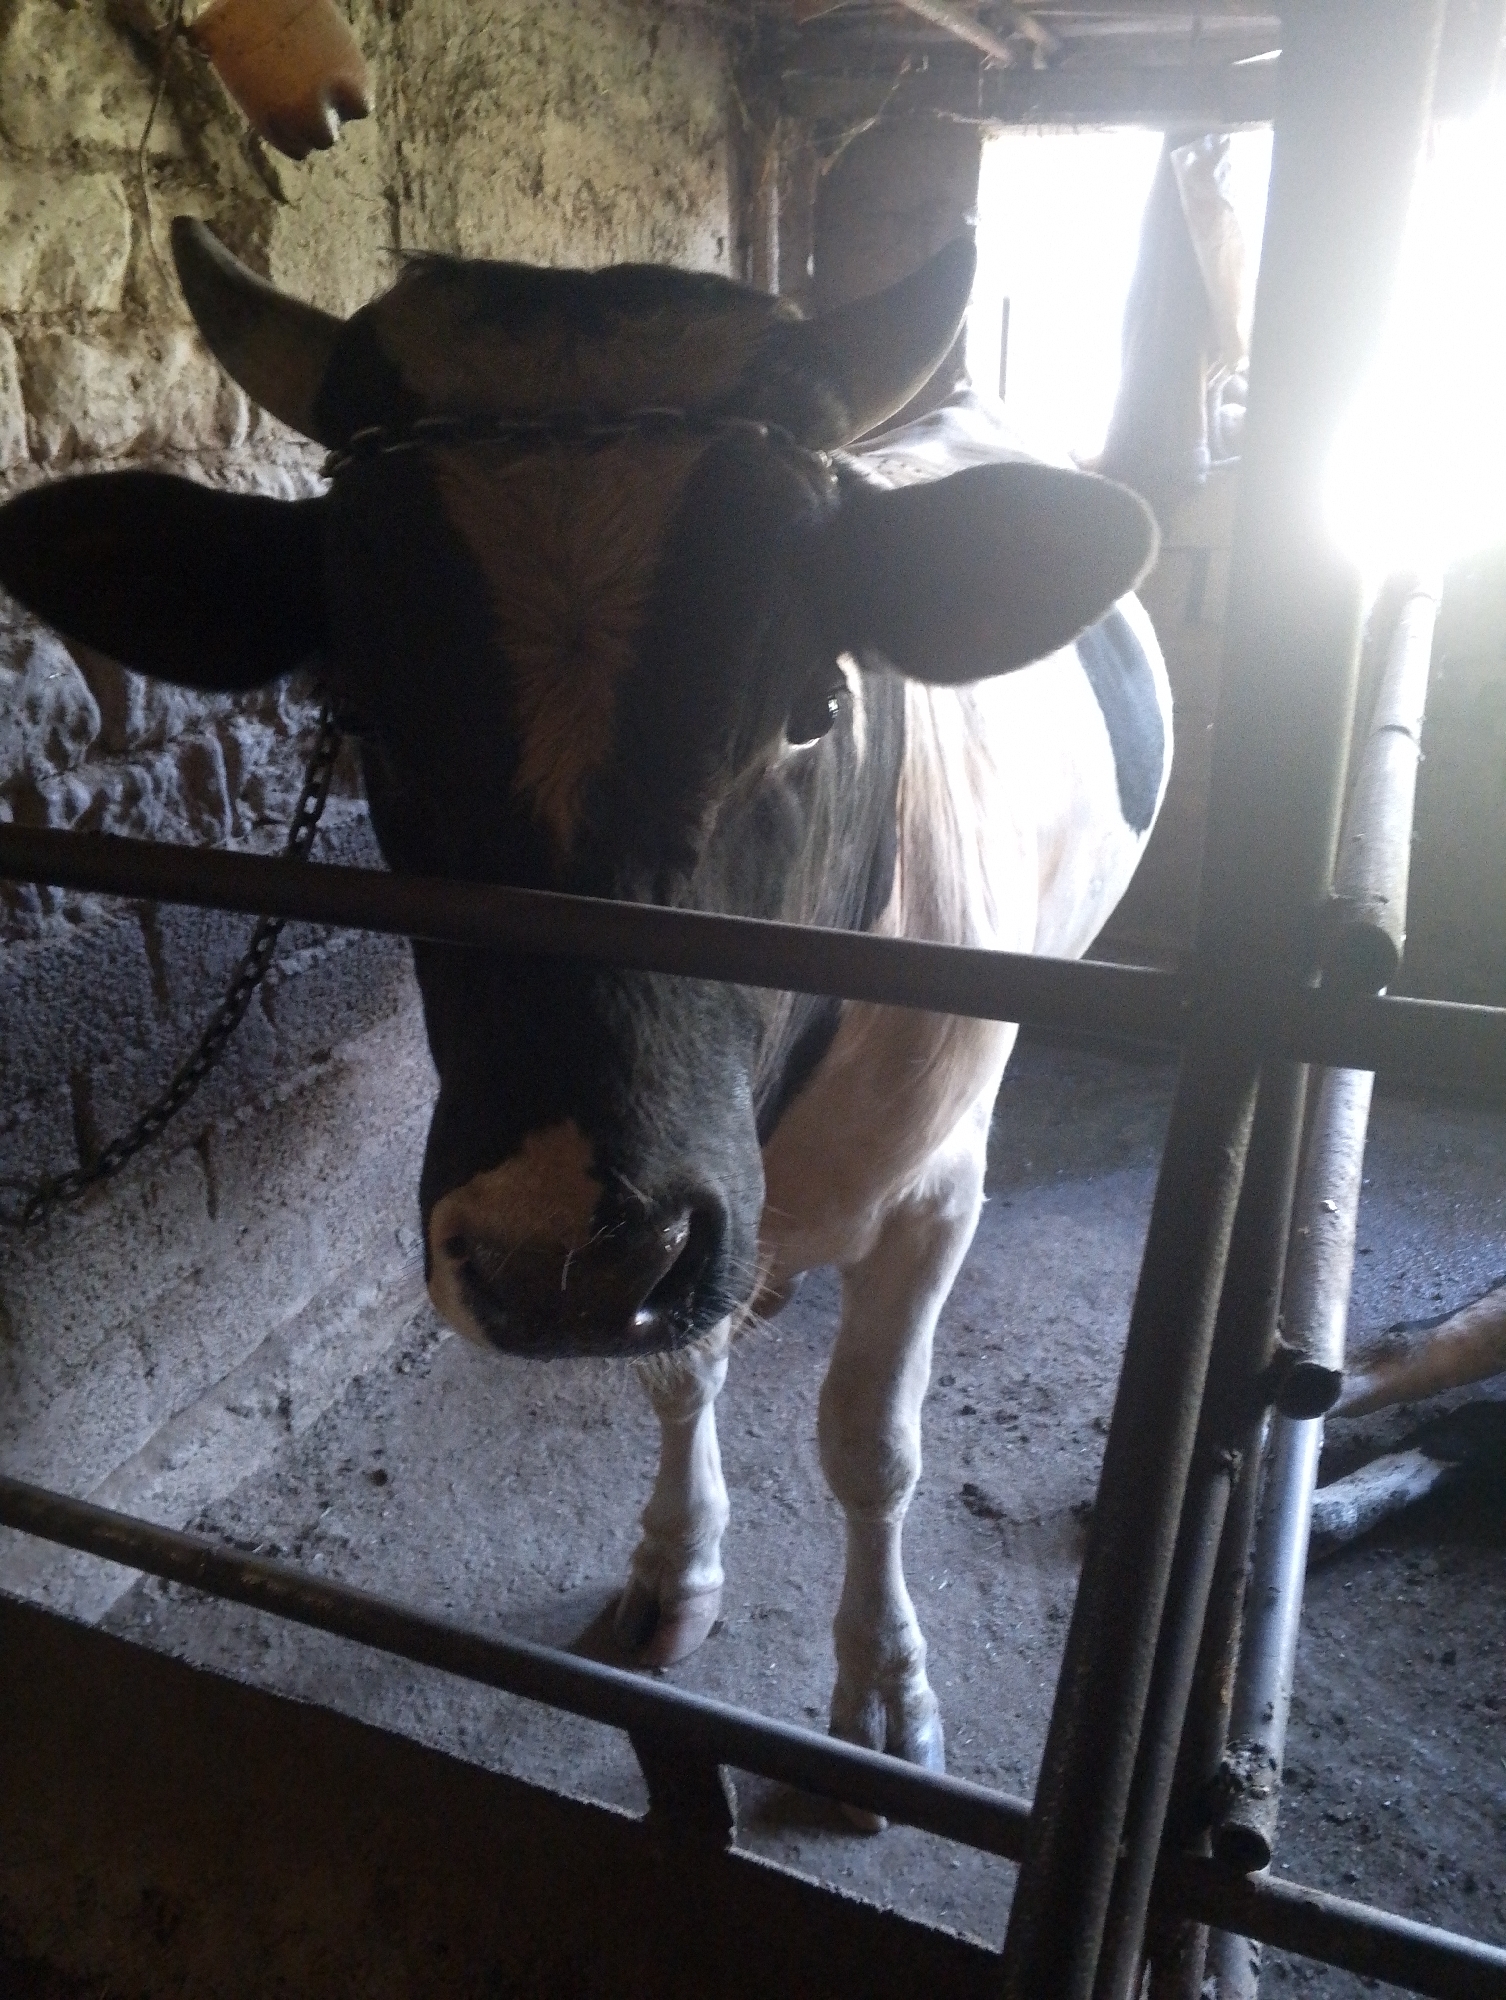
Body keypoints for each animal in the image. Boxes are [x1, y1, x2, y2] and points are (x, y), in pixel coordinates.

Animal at [0, 221, 1171, 1777]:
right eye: (361, 718)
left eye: (814, 708)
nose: (563, 1254)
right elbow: (681, 1371)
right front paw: (673, 1571)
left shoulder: (934, 1192)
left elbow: (873, 1444)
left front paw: (883, 1686)